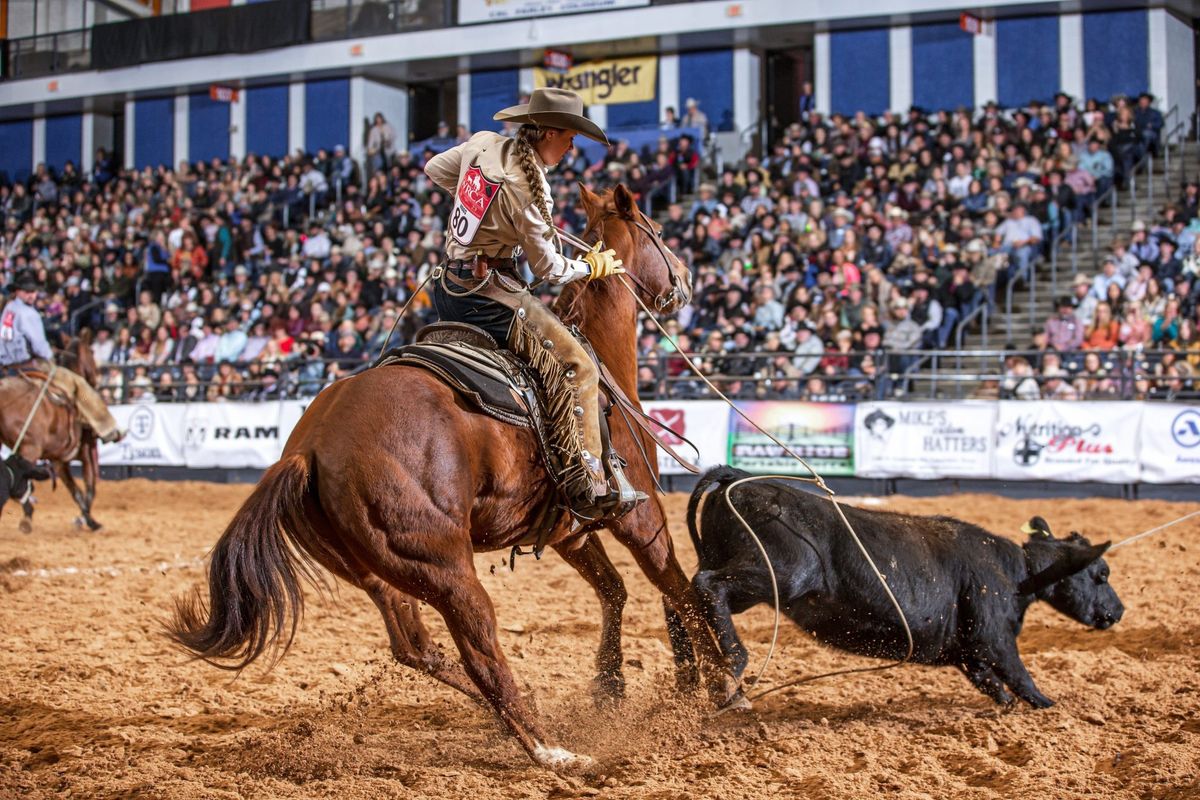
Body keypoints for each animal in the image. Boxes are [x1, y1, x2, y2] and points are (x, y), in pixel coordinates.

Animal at [0, 331, 103, 532]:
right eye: (92, 352)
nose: (96, 379)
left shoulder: (58, 461)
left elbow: (76, 491)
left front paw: (84, 519)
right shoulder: (87, 452)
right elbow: (90, 488)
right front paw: (88, 521)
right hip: (29, 449)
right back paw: (27, 517)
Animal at [169, 184, 739, 772]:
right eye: (656, 229)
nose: (684, 277)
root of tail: (310, 448)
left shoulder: (569, 531)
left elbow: (615, 591)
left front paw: (612, 686)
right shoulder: (639, 514)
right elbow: (677, 589)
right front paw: (720, 687)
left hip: (379, 571)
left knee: (417, 648)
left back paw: (515, 716)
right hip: (443, 566)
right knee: (481, 652)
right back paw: (552, 748)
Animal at [686, 465, 1123, 710]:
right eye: (1101, 574)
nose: (1117, 611)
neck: (1016, 573)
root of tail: (738, 479)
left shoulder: (967, 650)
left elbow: (992, 683)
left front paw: (1006, 705)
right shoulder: (993, 636)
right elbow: (1020, 677)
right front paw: (1051, 706)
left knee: (688, 597)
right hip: (778, 575)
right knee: (707, 585)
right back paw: (734, 662)